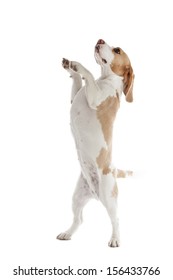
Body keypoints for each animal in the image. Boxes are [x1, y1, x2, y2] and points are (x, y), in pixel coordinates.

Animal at [56, 39, 134, 247]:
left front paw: (78, 66)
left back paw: (115, 239)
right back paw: (67, 233)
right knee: (79, 219)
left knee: (115, 219)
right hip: (77, 197)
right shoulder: (75, 97)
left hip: (108, 196)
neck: (105, 80)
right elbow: (78, 81)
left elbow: (88, 74)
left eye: (117, 50)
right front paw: (71, 67)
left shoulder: (95, 98)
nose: (100, 40)